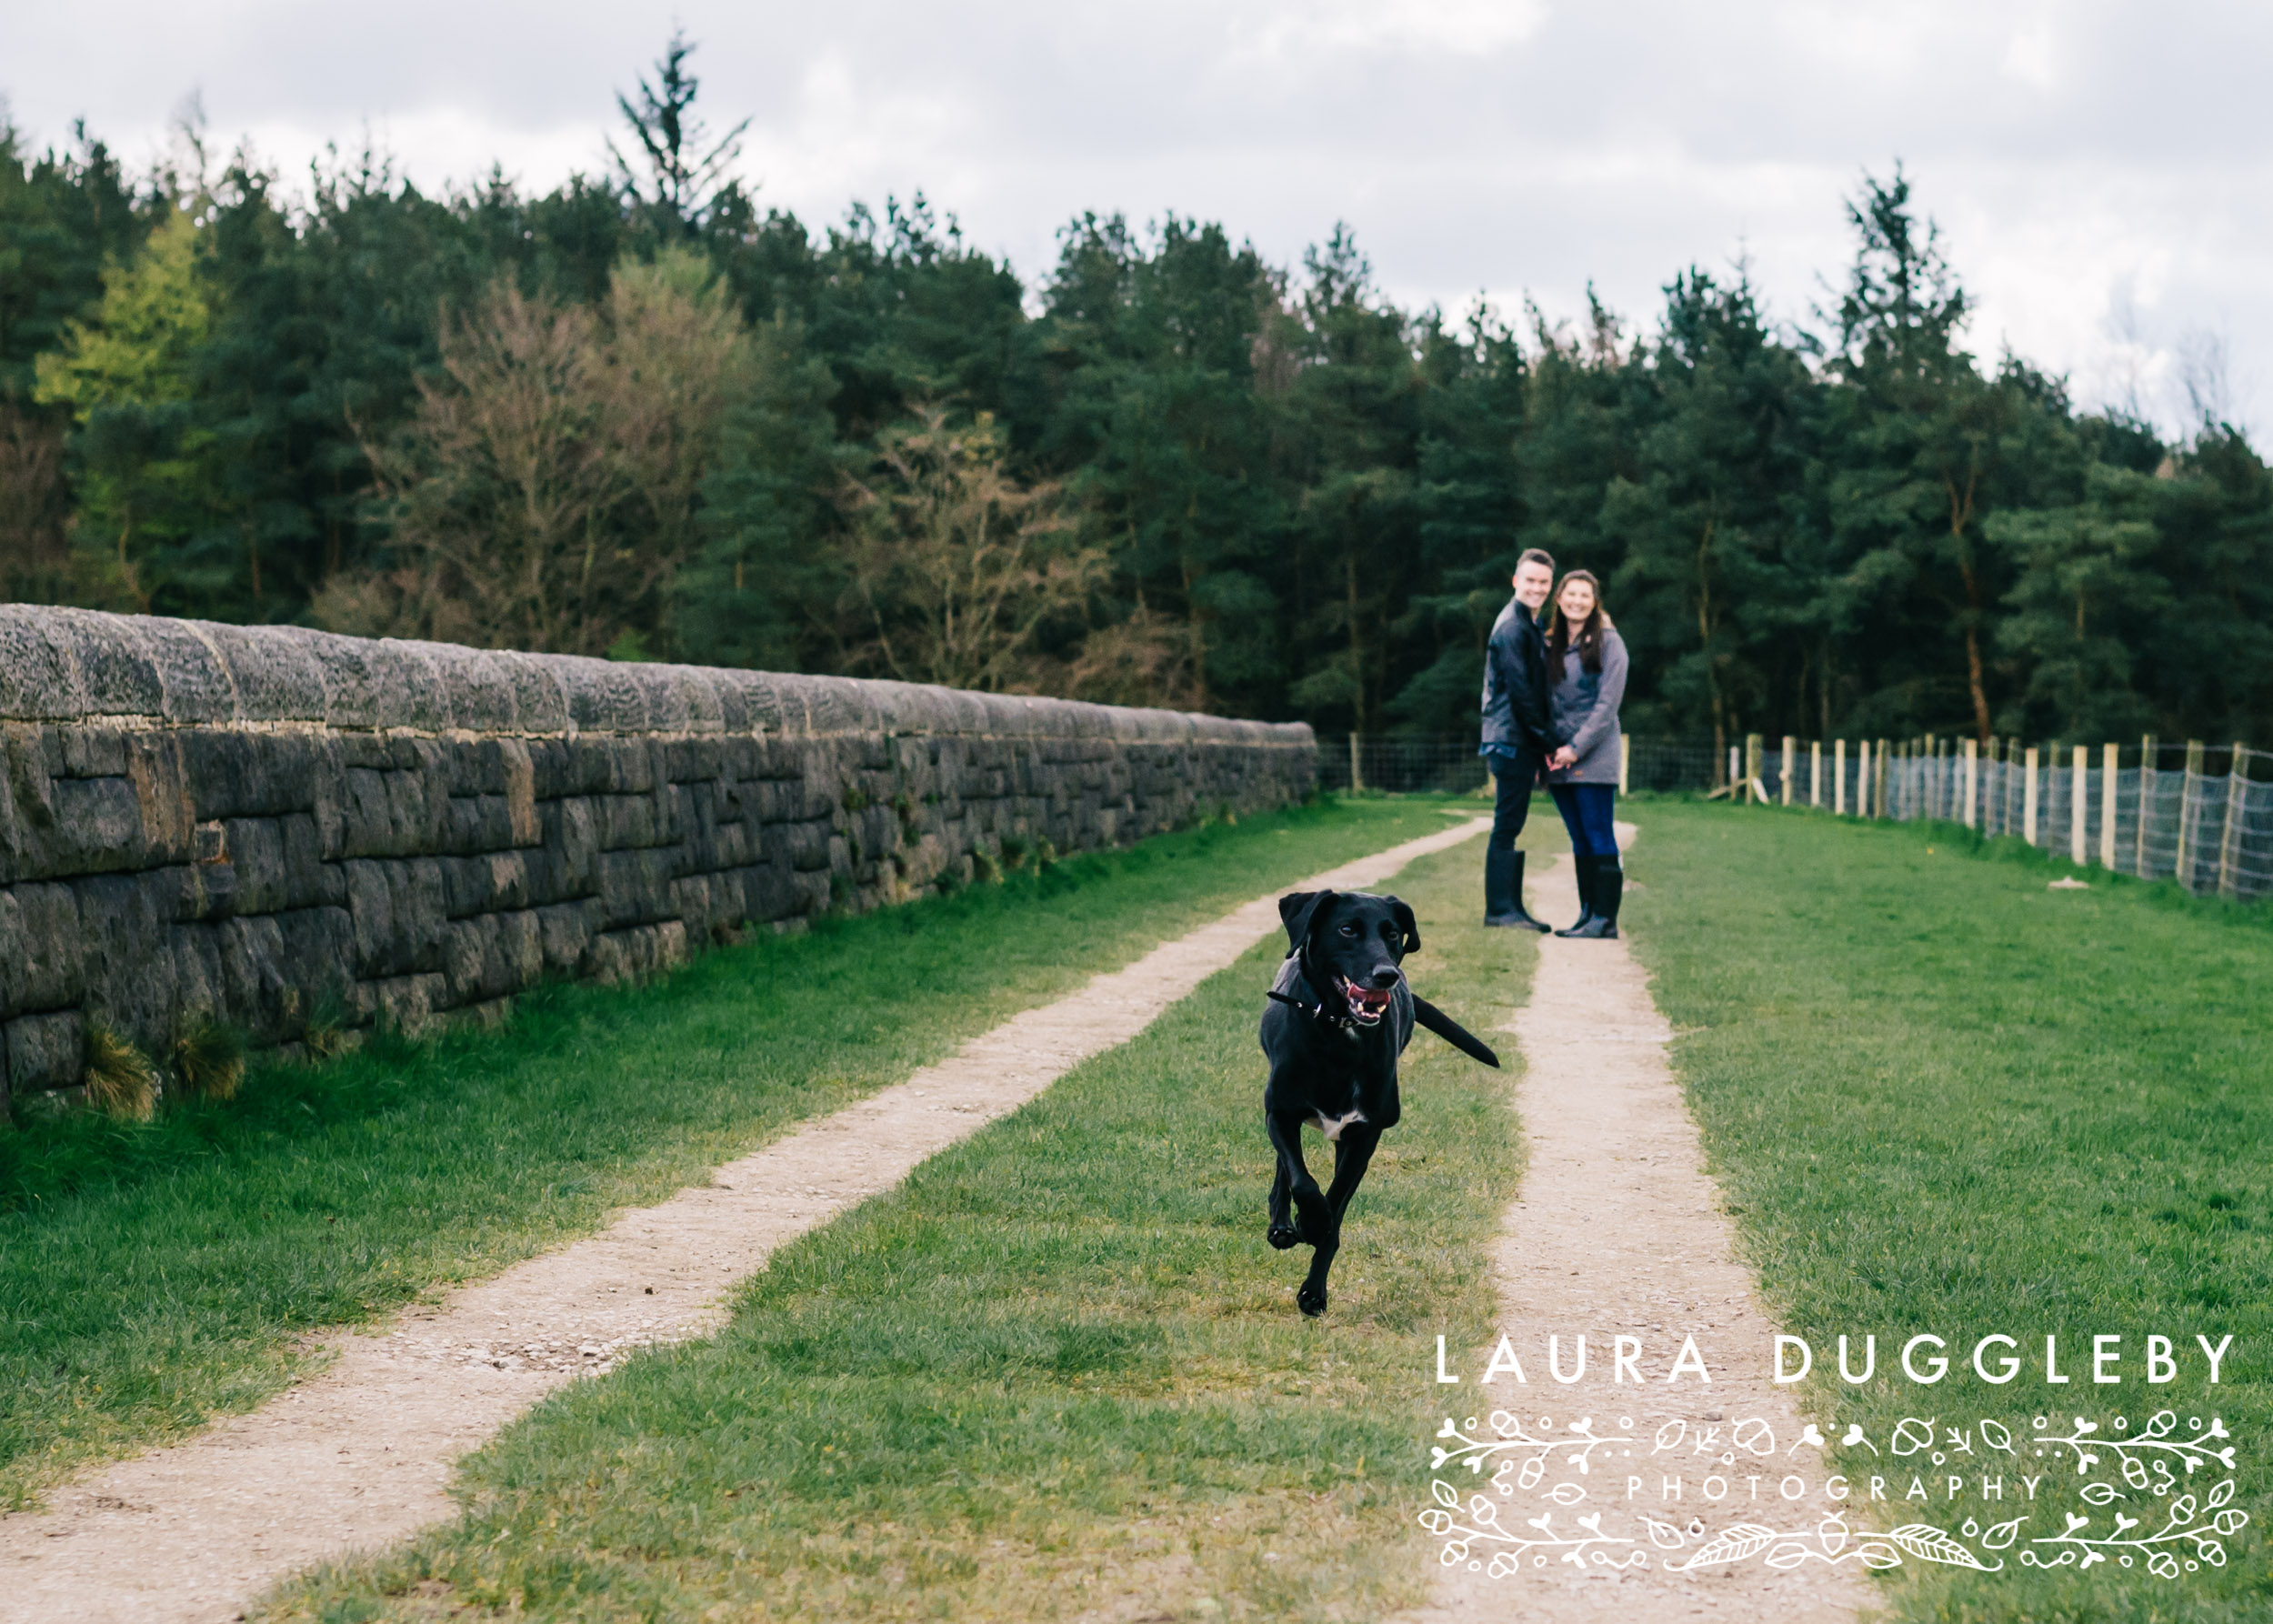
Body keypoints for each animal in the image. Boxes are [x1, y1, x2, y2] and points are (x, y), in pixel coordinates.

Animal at [1255, 887, 1500, 1318]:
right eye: (1347, 930)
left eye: (1393, 934)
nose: (1388, 974)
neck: (1338, 1032)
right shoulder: (1280, 1112)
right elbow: (1302, 1179)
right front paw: (1306, 1221)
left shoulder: (1365, 1134)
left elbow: (1336, 1201)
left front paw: (1314, 1285)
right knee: (1286, 1165)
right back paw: (1282, 1225)